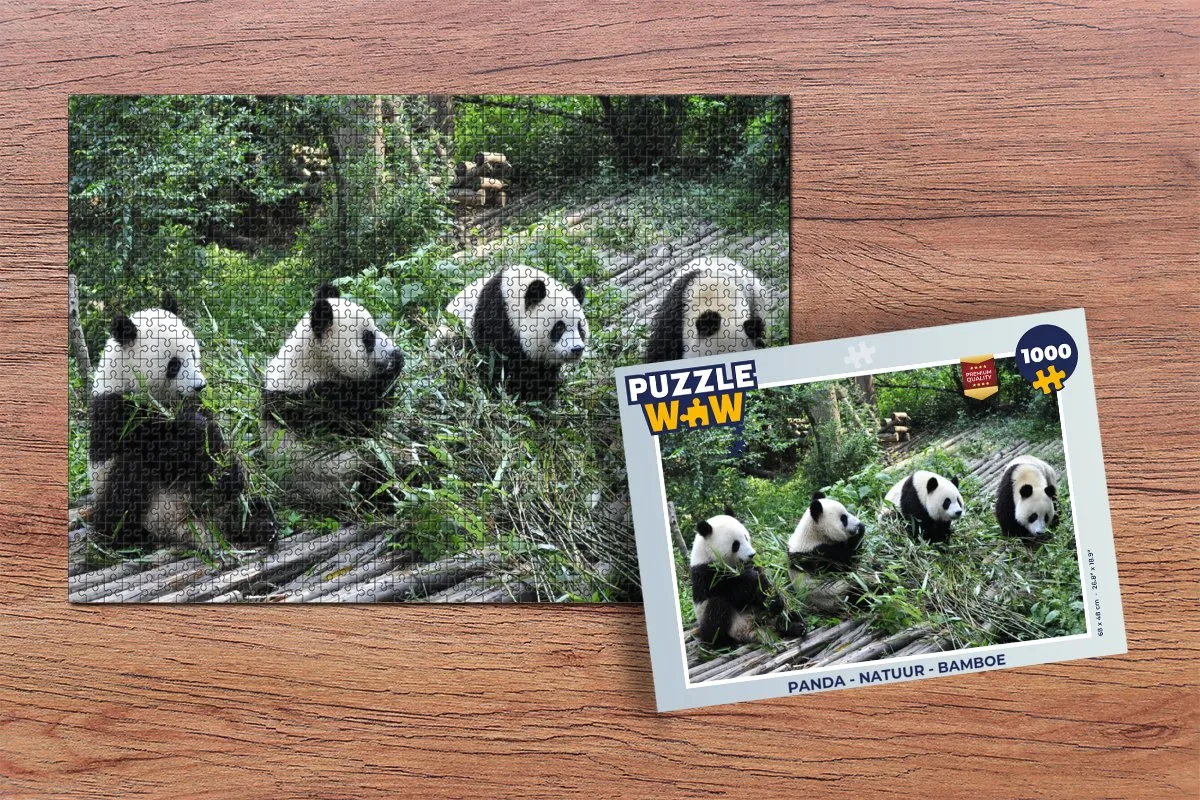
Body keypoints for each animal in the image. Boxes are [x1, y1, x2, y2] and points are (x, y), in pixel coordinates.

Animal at [88, 294, 274, 552]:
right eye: (174, 365)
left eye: (194, 355)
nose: (200, 386)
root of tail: (182, 526)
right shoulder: (115, 408)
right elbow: (156, 445)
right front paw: (190, 428)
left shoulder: (198, 404)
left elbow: (217, 447)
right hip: (134, 499)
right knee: (129, 479)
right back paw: (125, 537)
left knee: (239, 502)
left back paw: (258, 523)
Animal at [261, 283, 405, 506]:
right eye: (368, 338)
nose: (394, 351)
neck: (315, 360)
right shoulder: (310, 401)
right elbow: (361, 421)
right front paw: (392, 369)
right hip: (342, 476)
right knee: (379, 477)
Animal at [433, 265, 589, 404]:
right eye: (559, 328)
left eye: (580, 328)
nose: (577, 349)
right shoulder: (494, 319)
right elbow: (495, 364)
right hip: (451, 337)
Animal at [689, 514, 805, 647]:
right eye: (736, 544)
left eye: (746, 537)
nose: (752, 554)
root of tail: (752, 631)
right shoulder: (706, 574)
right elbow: (736, 595)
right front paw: (750, 577)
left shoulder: (753, 565)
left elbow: (764, 587)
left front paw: (774, 601)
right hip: (728, 623)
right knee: (717, 609)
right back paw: (722, 643)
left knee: (788, 612)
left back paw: (794, 626)